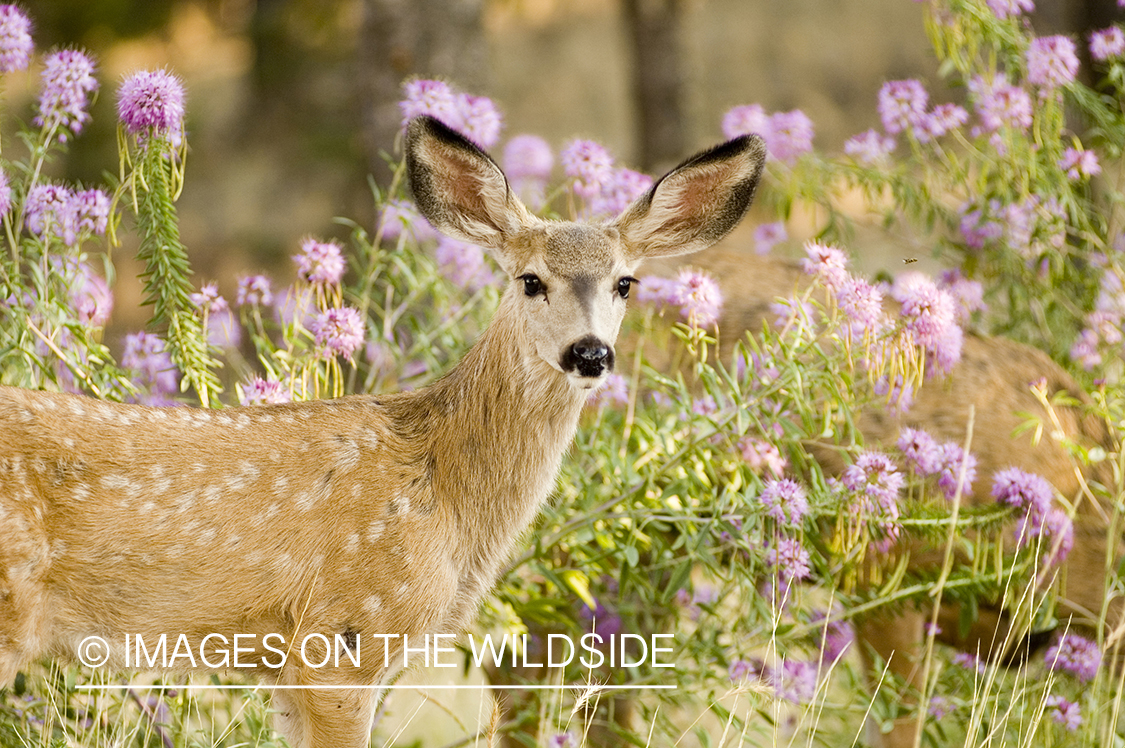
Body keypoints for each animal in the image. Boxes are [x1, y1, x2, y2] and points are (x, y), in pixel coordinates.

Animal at [0, 115, 766, 748]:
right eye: (530, 279)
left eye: (625, 284)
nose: (590, 353)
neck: (446, 493)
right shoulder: (346, 636)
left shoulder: (288, 663)